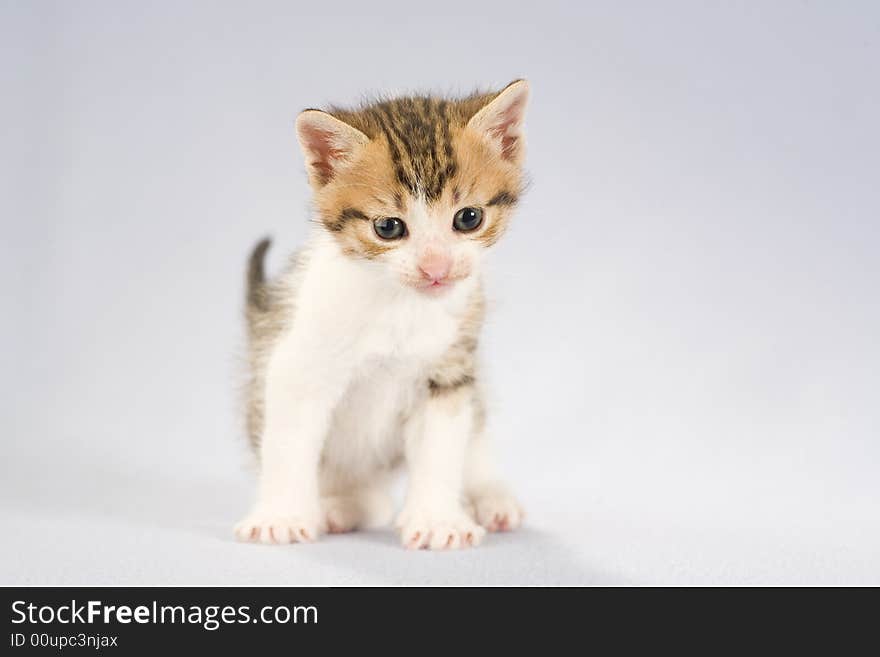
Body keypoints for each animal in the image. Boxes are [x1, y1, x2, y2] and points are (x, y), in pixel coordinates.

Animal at [234, 79, 528, 548]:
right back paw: (338, 507)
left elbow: (441, 448)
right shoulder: (297, 364)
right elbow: (288, 443)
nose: (435, 267)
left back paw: (491, 498)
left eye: (469, 218)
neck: (400, 307)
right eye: (388, 227)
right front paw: (280, 517)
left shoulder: (448, 373)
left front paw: (437, 520)